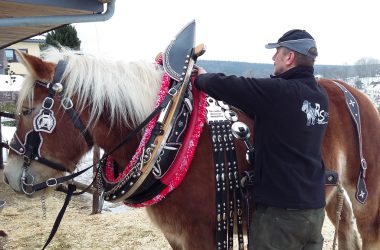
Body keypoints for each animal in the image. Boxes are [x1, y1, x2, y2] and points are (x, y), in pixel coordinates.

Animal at [2, 47, 380, 250]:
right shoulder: (176, 235)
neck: (166, 132)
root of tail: (348, 89)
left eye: (27, 111)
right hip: (327, 194)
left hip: (365, 194)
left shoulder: (203, 235)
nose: (9, 175)